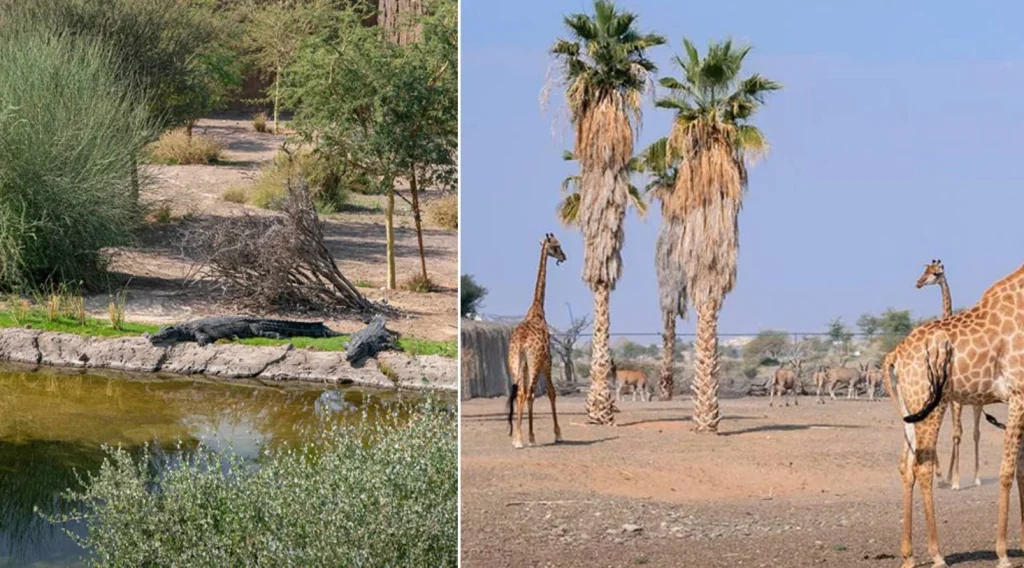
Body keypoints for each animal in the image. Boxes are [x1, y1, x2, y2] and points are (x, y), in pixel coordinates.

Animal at [509, 232, 573, 448]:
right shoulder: (548, 359)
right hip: (535, 362)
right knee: (528, 393)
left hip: (515, 363)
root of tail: (521, 343)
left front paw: (528, 435)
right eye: (557, 246)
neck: (538, 308)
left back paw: (517, 437)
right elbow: (552, 392)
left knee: (520, 392)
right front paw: (557, 434)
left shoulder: (527, 364)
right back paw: (521, 439)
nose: (564, 257)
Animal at [917, 259, 987, 491]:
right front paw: (945, 477)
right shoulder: (947, 401)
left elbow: (957, 433)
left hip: (975, 402)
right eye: (925, 270)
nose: (918, 282)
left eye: (935, 273)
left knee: (974, 433)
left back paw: (975, 478)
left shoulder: (954, 401)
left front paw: (954, 480)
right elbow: (949, 433)